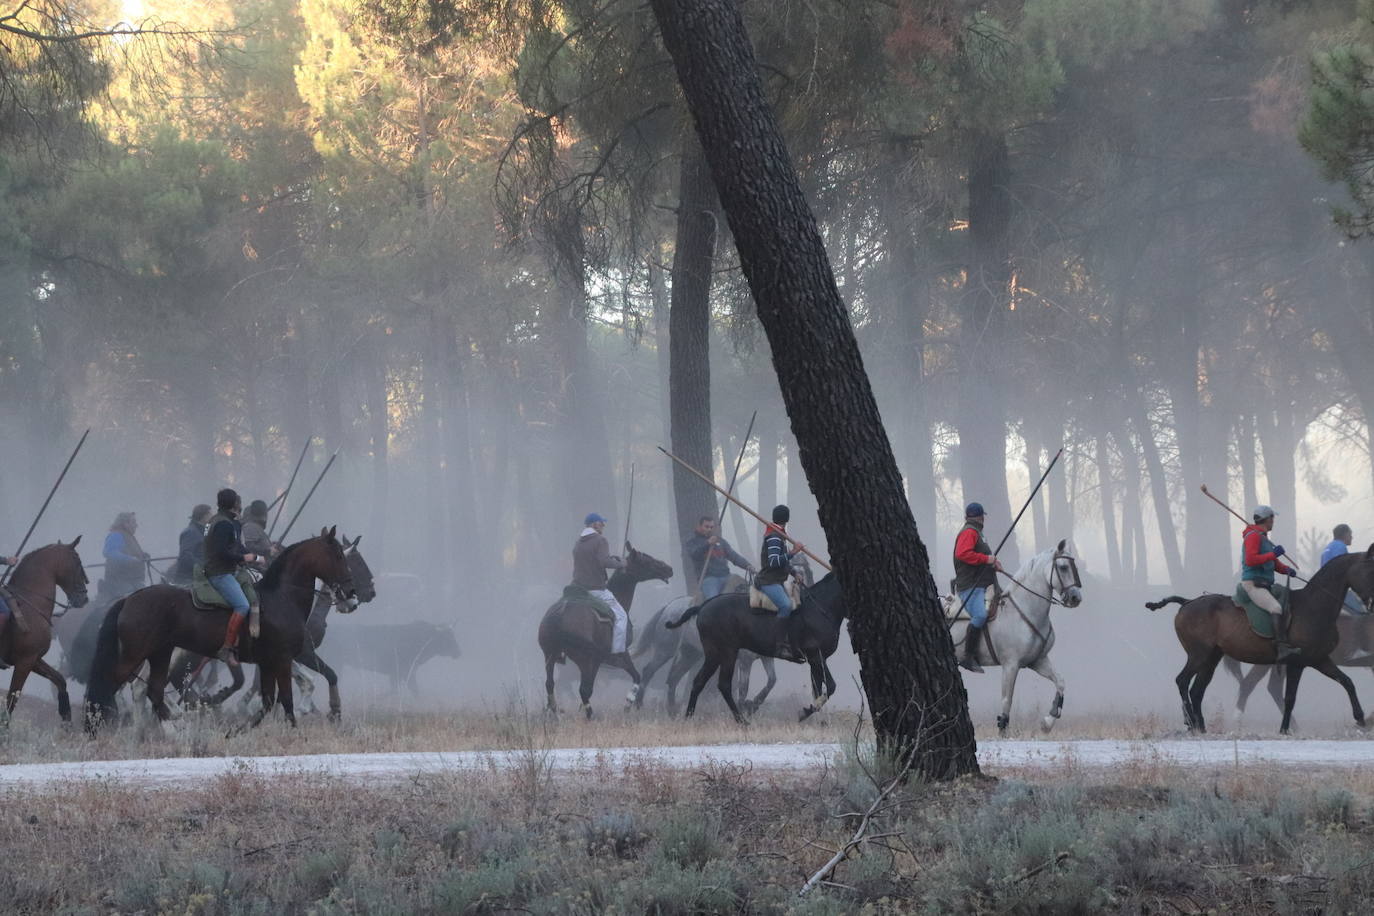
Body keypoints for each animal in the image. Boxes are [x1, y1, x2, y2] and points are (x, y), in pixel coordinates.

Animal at [0, 538, 88, 725]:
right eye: (77, 561)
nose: (84, 597)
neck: (30, 603)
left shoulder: (34, 660)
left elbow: (60, 680)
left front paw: (66, 717)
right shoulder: (24, 662)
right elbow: (11, 701)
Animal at [83, 527, 357, 736]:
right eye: (337, 556)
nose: (351, 595)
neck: (281, 597)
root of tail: (130, 598)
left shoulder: (270, 662)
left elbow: (270, 701)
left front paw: (236, 732)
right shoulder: (283, 658)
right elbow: (286, 699)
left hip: (161, 654)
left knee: (153, 690)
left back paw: (173, 730)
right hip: (137, 655)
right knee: (114, 686)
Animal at [667, 574, 846, 725]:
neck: (820, 608)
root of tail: (702, 607)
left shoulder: (814, 661)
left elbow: (817, 689)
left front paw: (814, 717)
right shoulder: (816, 656)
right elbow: (831, 686)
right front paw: (806, 713)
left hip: (712, 656)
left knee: (699, 681)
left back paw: (688, 717)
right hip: (726, 653)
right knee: (723, 684)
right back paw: (741, 721)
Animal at [945, 541, 1082, 736]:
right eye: (1063, 567)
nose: (1075, 597)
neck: (1023, 610)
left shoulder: (1038, 661)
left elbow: (1060, 682)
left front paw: (1048, 722)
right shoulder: (1010, 665)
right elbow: (1006, 700)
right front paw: (1003, 730)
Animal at [1143, 549, 1374, 736]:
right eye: (1369, 571)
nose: (1371, 604)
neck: (1314, 606)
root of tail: (1187, 602)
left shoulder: (1320, 659)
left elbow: (1347, 682)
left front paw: (1361, 718)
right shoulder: (1297, 663)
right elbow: (1290, 697)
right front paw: (1284, 730)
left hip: (1211, 658)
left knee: (1197, 690)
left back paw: (1200, 726)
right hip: (1199, 655)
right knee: (1183, 681)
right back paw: (1192, 722)